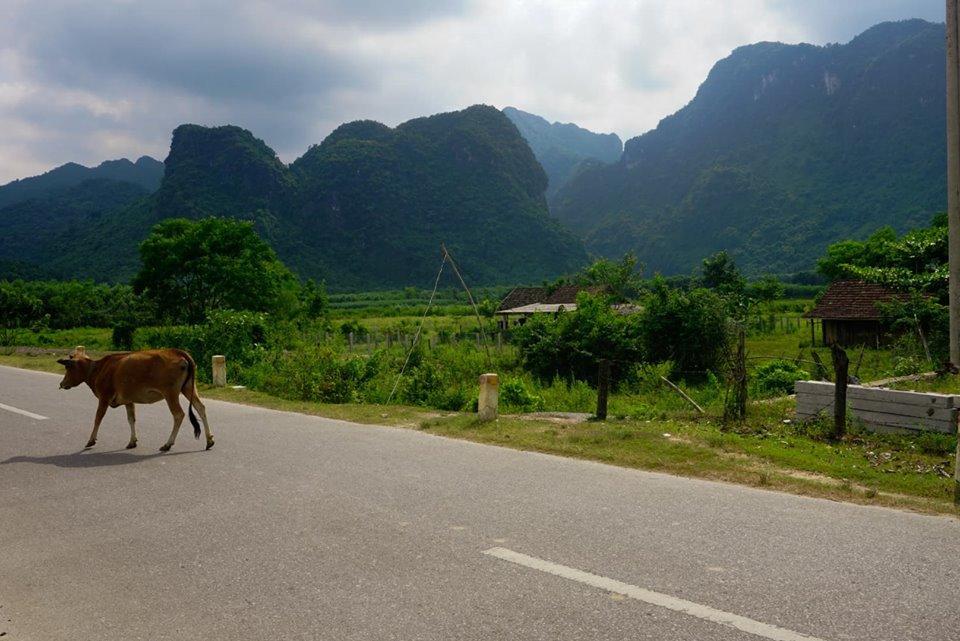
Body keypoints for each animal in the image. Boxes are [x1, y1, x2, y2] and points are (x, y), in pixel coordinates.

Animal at [57, 350, 214, 450]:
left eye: (68, 367)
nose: (62, 384)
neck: (97, 370)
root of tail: (179, 352)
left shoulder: (104, 397)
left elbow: (98, 418)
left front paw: (91, 440)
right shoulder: (128, 400)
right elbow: (131, 419)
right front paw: (132, 441)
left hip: (171, 393)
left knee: (178, 414)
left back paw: (168, 444)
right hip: (188, 388)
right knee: (201, 408)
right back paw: (209, 440)